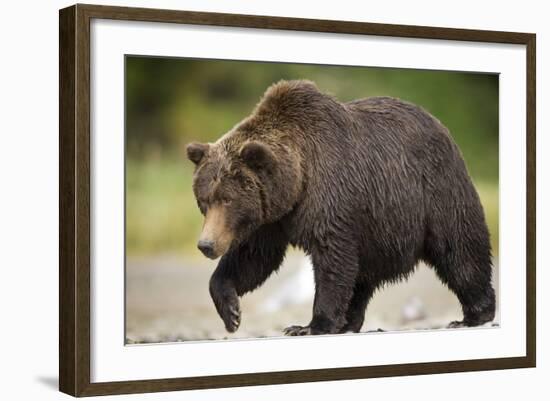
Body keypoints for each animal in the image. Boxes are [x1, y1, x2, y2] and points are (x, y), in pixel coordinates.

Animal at [188, 79, 498, 334]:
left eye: (227, 198)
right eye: (204, 200)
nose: (206, 245)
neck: (296, 183)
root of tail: (441, 125)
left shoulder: (329, 195)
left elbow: (332, 257)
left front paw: (311, 325)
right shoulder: (271, 216)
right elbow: (253, 257)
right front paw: (231, 312)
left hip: (434, 192)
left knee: (458, 248)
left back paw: (473, 314)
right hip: (376, 227)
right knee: (362, 276)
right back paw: (350, 321)